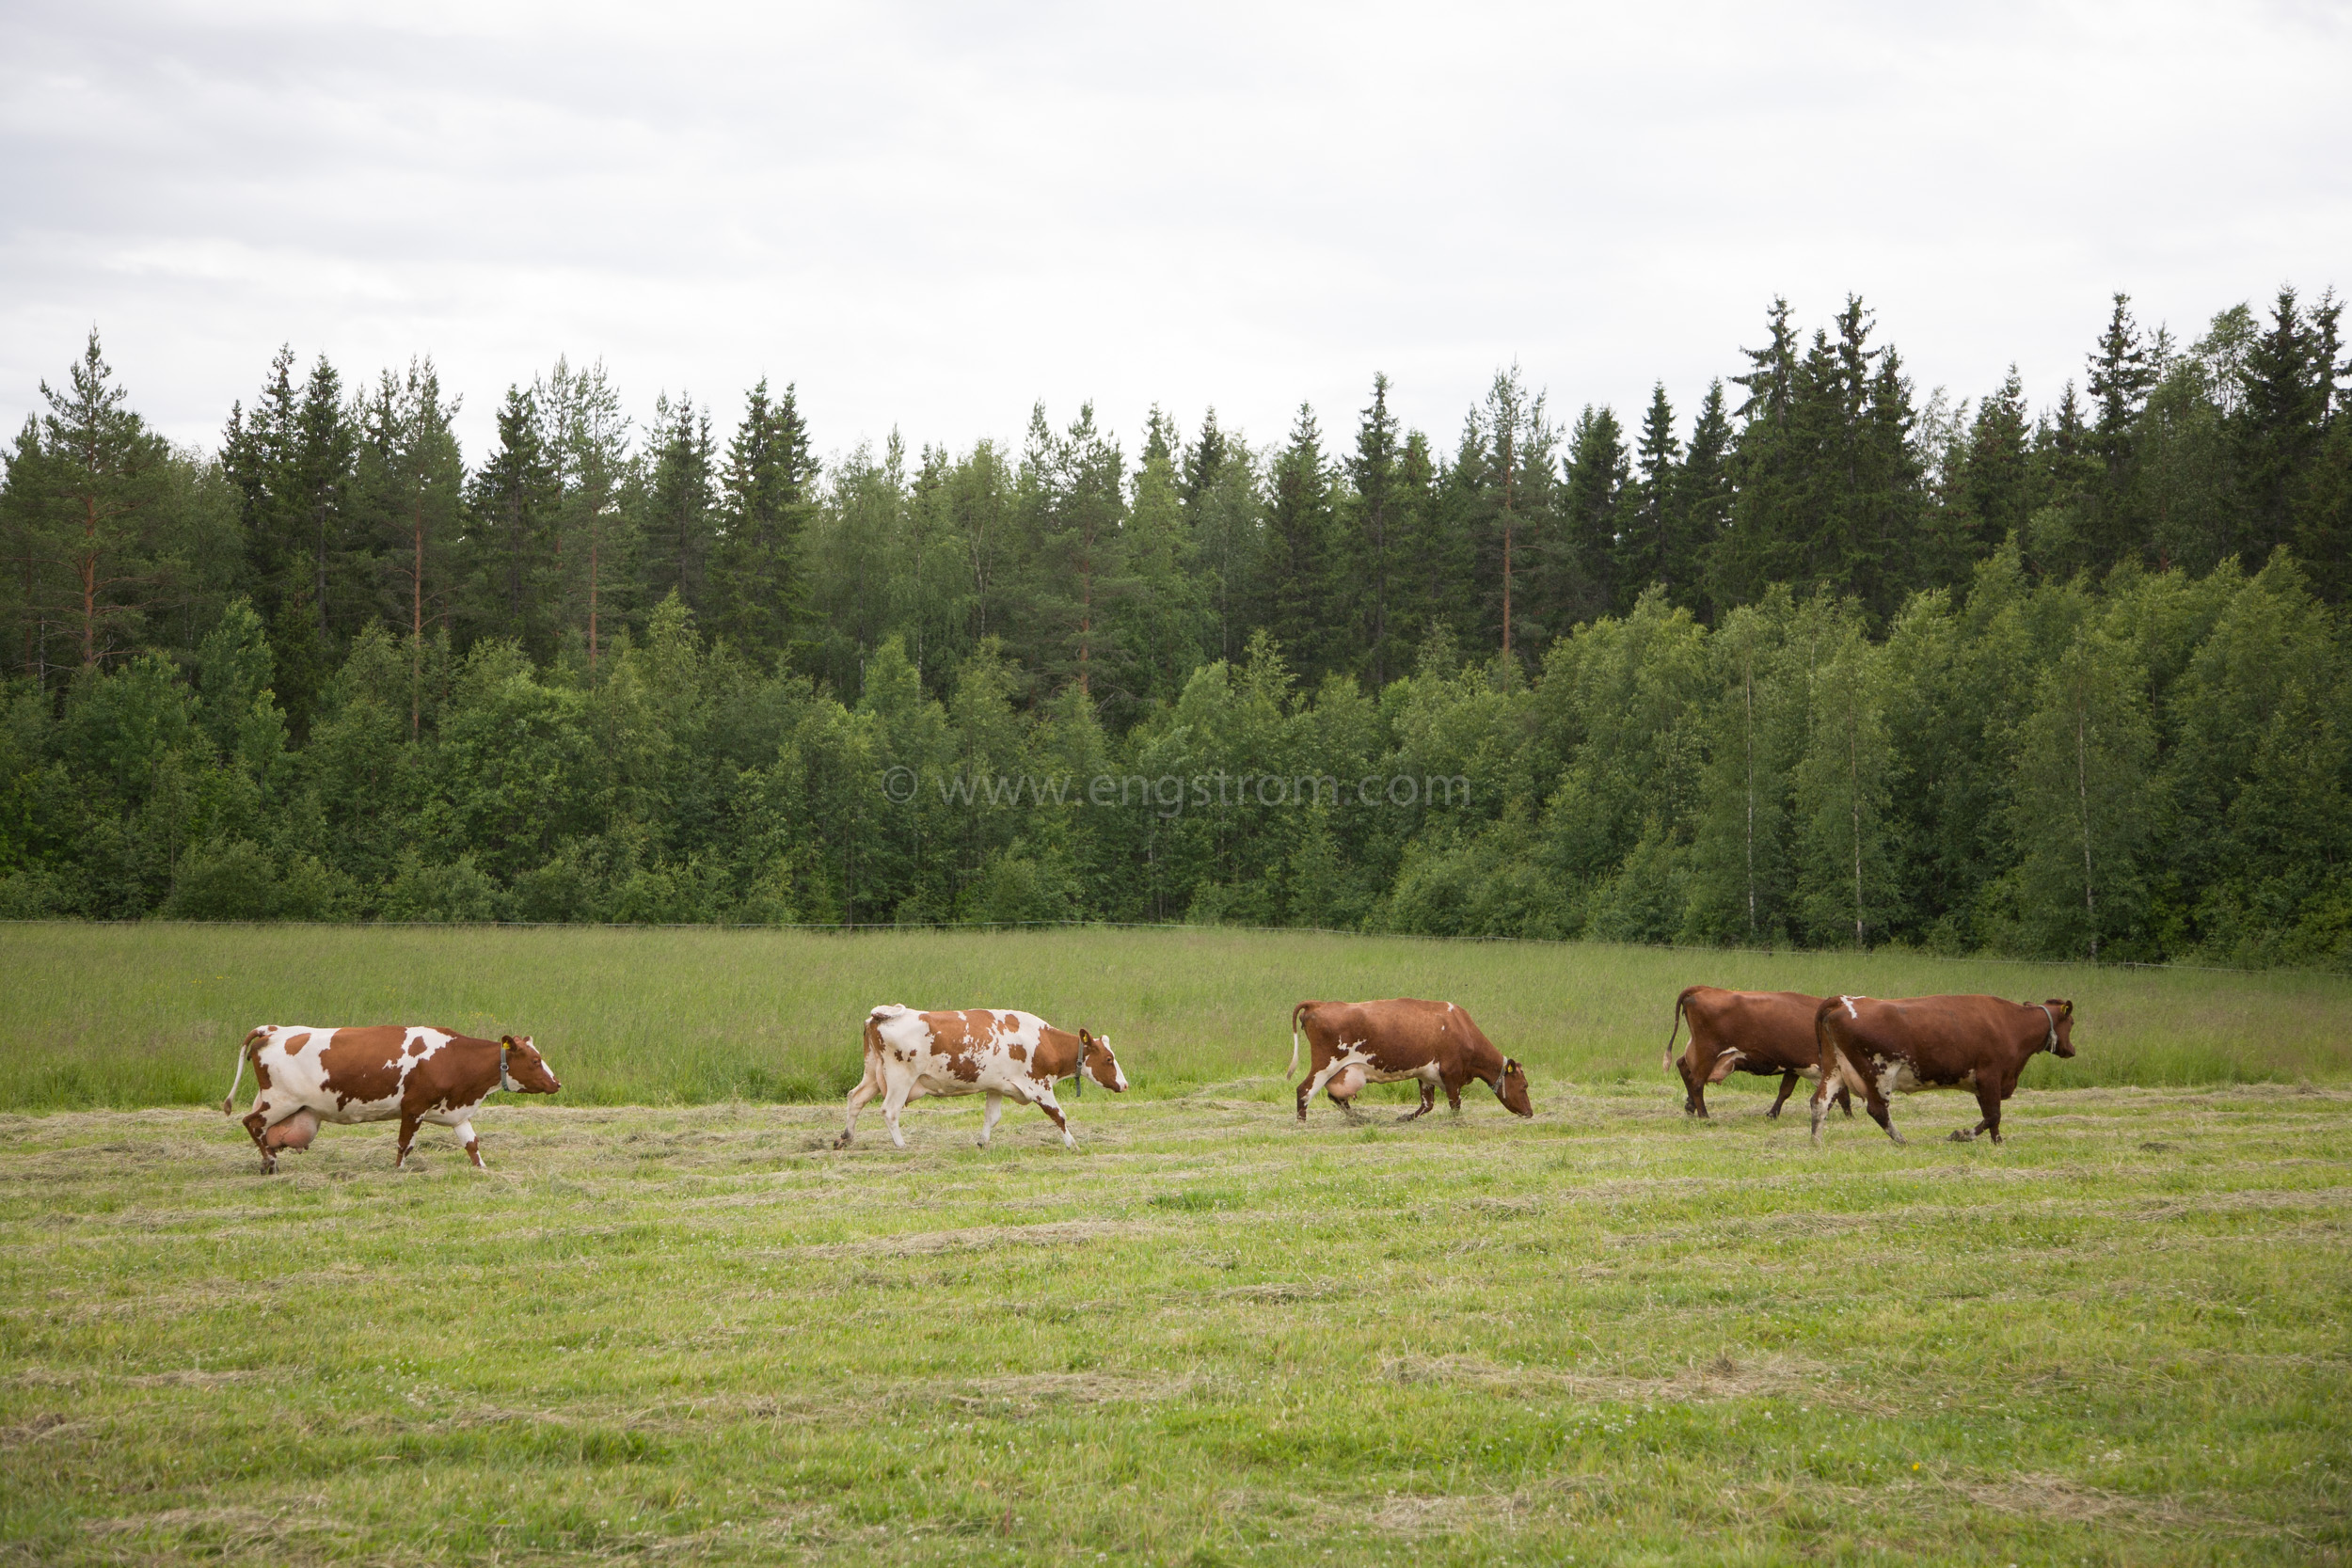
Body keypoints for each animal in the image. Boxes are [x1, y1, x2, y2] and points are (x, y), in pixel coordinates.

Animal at [224, 1024, 564, 1170]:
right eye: (536, 1060)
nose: (557, 1083)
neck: (453, 1058)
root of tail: (274, 1030)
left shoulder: (457, 1112)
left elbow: (472, 1145)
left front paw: (483, 1170)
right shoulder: (412, 1107)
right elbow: (405, 1144)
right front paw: (398, 1171)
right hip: (279, 1101)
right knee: (252, 1123)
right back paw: (269, 1162)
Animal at [837, 1006, 1129, 1151]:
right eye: (1109, 1059)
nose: (1124, 1084)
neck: (1042, 1041)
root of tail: (882, 1015)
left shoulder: (996, 1087)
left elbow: (992, 1117)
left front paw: (983, 1142)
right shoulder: (1039, 1086)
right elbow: (1059, 1116)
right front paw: (1073, 1144)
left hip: (872, 1074)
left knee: (855, 1099)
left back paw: (845, 1138)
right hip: (900, 1078)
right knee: (890, 1110)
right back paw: (900, 1145)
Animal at [1298, 1001, 1534, 1123]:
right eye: (1524, 1086)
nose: (1530, 1113)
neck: (1462, 1028)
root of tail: (1317, 1004)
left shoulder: (1426, 1076)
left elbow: (1426, 1105)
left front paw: (1404, 1118)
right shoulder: (1451, 1075)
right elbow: (1455, 1105)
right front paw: (1456, 1123)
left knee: (1336, 1097)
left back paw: (1359, 1118)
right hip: (1324, 1065)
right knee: (1304, 1090)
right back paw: (1302, 1122)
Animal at [1665, 987, 1844, 1123]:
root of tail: (1703, 988)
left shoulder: (1794, 1066)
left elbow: (1785, 1091)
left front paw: (1772, 1114)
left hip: (1696, 1050)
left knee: (1683, 1066)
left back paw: (1690, 1106)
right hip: (1707, 1052)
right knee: (1696, 1082)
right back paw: (1704, 1116)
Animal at [1806, 1001, 2089, 1147]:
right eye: (2072, 1022)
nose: (2072, 1050)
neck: (2011, 1024)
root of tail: (1844, 1001)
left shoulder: (1983, 1084)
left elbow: (1992, 1116)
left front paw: (1997, 1142)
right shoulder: (1989, 1076)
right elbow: (1993, 1115)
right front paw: (1962, 1135)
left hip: (1835, 1069)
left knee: (1819, 1102)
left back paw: (1817, 1142)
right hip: (1879, 1072)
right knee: (1877, 1110)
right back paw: (1902, 1140)